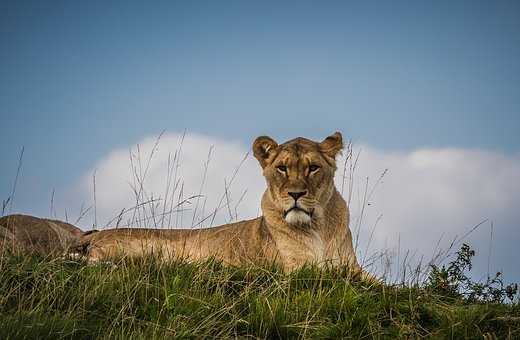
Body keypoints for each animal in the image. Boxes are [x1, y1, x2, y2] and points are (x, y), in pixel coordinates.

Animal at [77, 133, 366, 276]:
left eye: (313, 168)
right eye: (282, 168)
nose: (295, 194)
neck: (317, 228)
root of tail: (94, 234)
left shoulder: (351, 268)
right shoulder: (296, 270)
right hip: (146, 249)